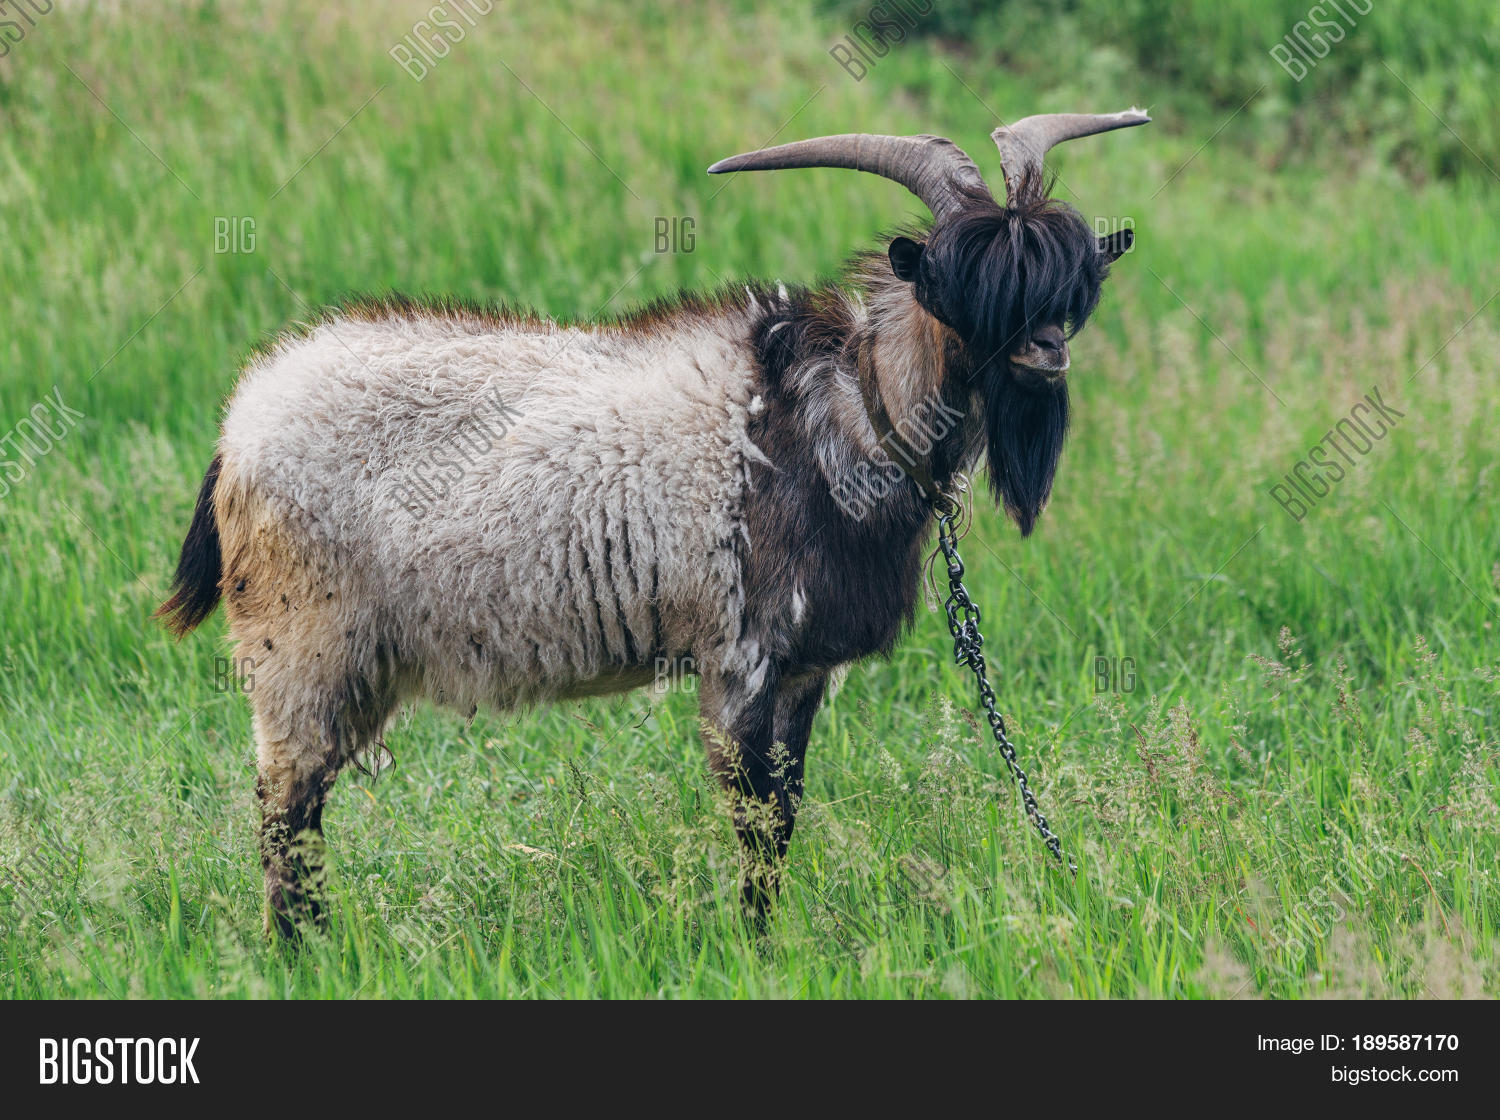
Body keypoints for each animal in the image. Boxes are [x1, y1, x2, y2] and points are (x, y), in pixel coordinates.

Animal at [157, 109, 1149, 937]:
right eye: (959, 282)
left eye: (1067, 285)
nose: (1045, 355)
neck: (837, 419)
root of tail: (240, 428)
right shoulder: (739, 655)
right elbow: (755, 821)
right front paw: (754, 946)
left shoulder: (802, 672)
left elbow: (786, 813)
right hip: (302, 649)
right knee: (285, 813)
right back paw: (302, 952)